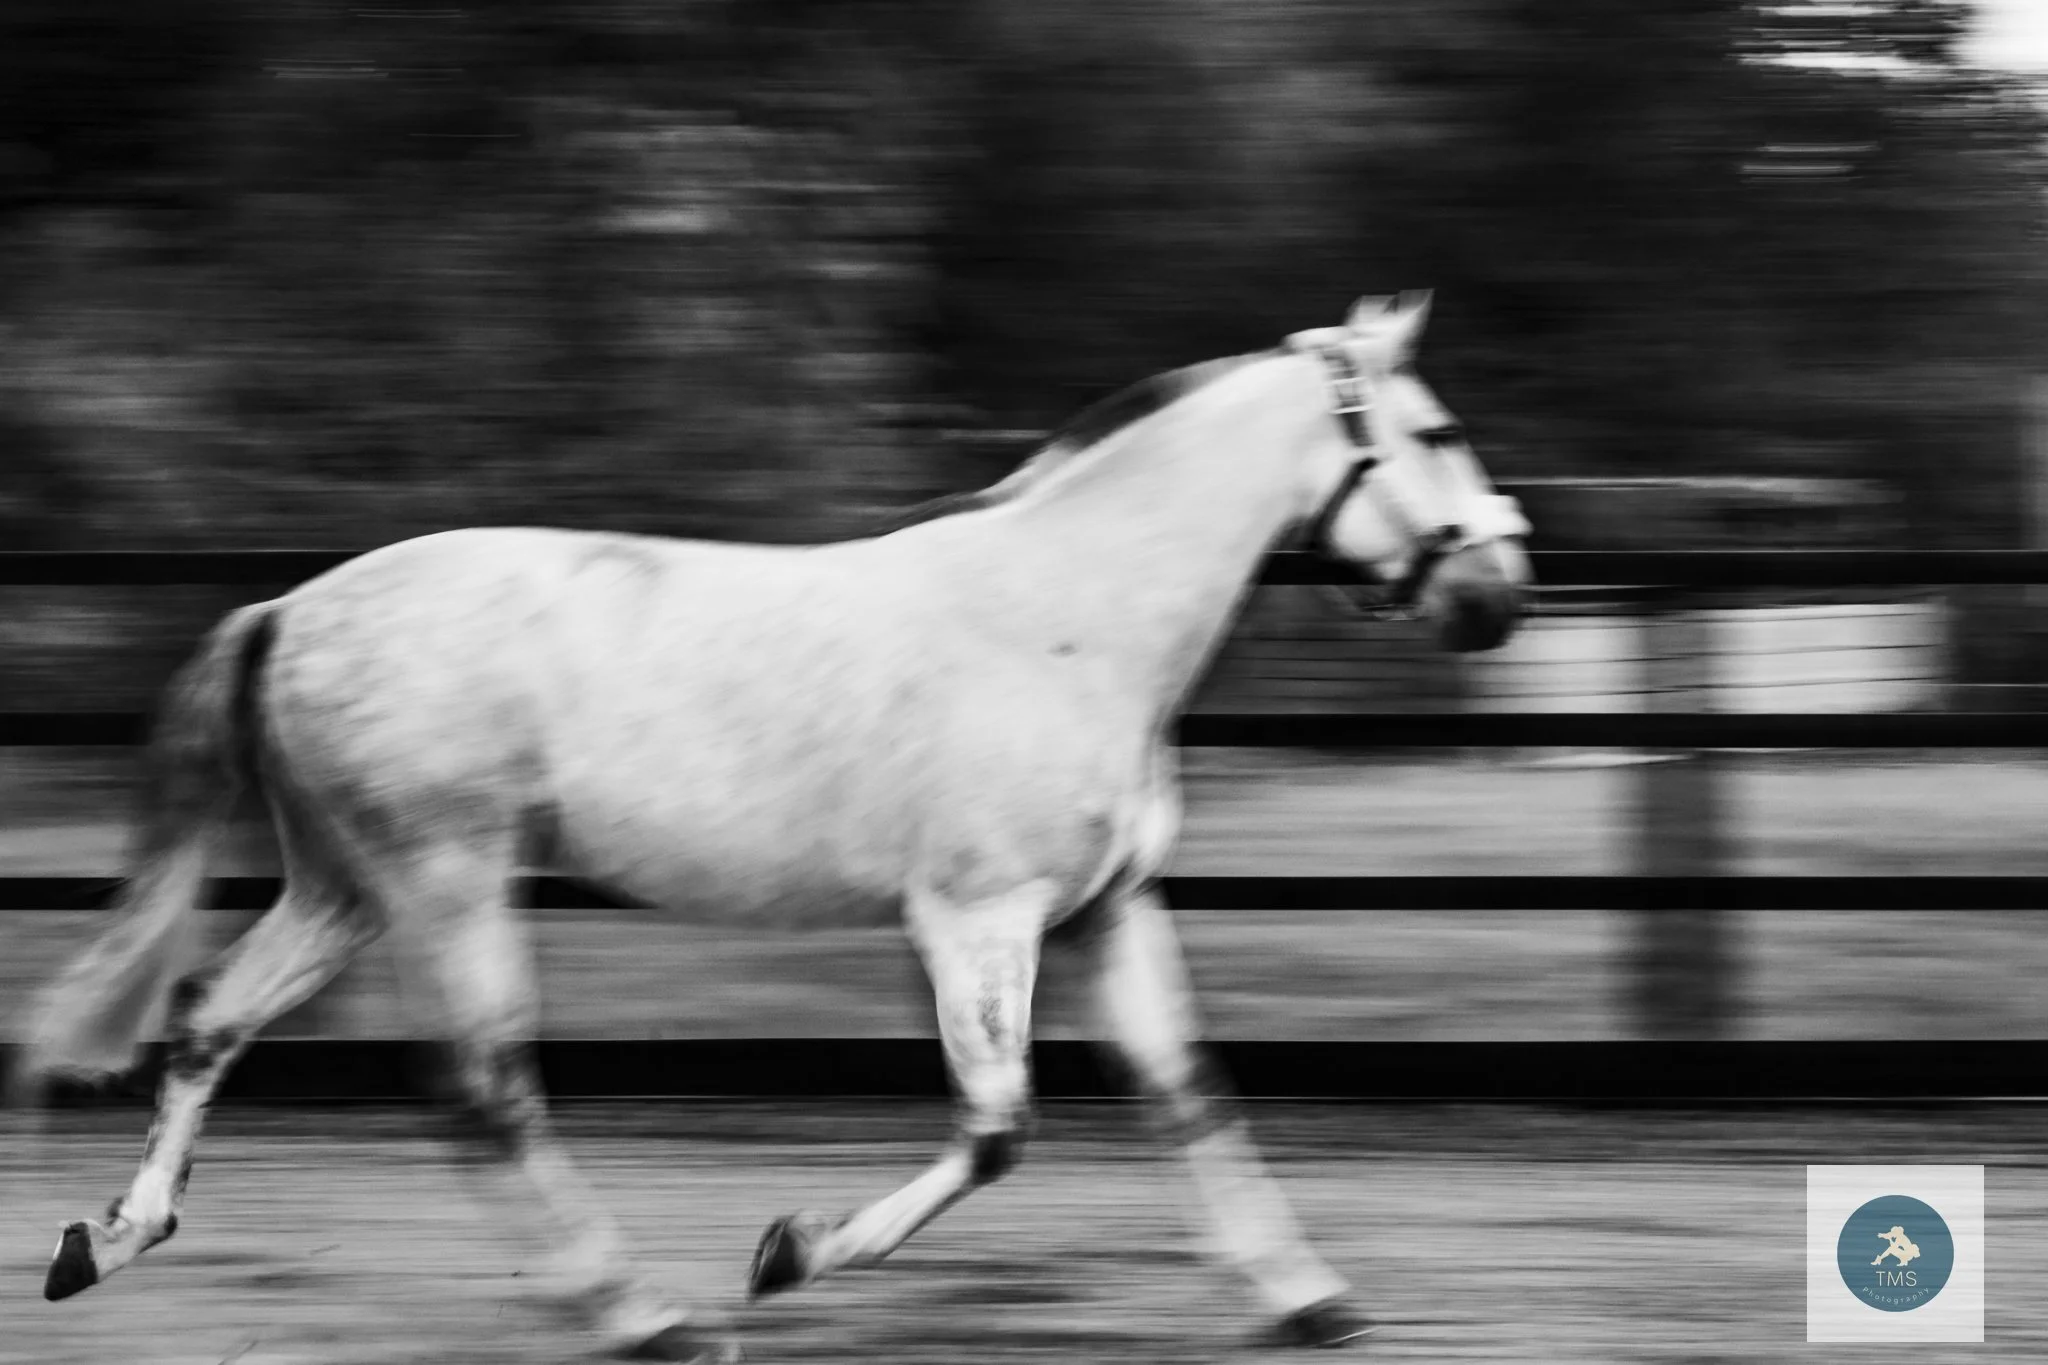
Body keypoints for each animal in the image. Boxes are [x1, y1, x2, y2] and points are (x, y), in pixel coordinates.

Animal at [21, 291, 1533, 1362]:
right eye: (1439, 433)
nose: (1501, 597)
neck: (1067, 623)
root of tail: (288, 611)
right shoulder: (976, 919)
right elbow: (999, 1128)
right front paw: (789, 1253)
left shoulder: (1108, 912)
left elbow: (1188, 1093)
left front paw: (1310, 1300)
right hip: (444, 879)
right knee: (484, 1091)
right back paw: (651, 1321)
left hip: (348, 884)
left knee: (210, 1015)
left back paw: (105, 1243)